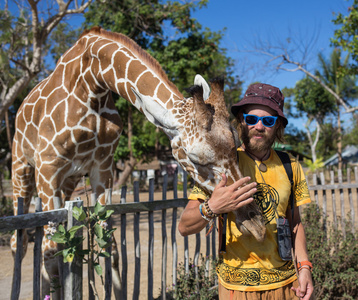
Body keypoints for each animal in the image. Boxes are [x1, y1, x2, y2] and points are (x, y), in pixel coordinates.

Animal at [11, 27, 266, 296]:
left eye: (235, 146)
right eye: (196, 158)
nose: (257, 225)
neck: (92, 83)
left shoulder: (102, 167)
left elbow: (109, 247)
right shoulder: (48, 167)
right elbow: (52, 251)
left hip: (70, 178)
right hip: (23, 167)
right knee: (23, 241)